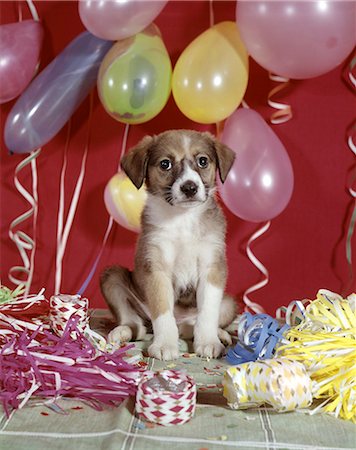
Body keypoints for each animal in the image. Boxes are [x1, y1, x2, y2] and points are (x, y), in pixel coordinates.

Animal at [101, 128, 238, 360]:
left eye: (202, 161)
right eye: (165, 164)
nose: (189, 188)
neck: (182, 219)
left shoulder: (212, 266)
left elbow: (208, 313)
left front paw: (208, 342)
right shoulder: (156, 267)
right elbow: (163, 310)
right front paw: (165, 344)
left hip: (229, 303)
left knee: (193, 325)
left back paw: (218, 334)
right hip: (112, 277)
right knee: (136, 324)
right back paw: (122, 331)